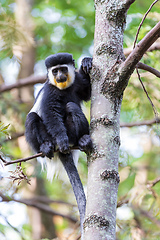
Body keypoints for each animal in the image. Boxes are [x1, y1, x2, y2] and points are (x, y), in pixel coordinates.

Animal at [25, 53, 92, 238]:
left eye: (63, 69)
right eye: (55, 71)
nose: (60, 76)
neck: (63, 88)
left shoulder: (77, 84)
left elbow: (87, 93)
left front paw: (86, 62)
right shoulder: (50, 91)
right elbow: (50, 113)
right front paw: (61, 139)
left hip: (73, 132)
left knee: (71, 106)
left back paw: (82, 141)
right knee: (32, 117)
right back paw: (47, 147)